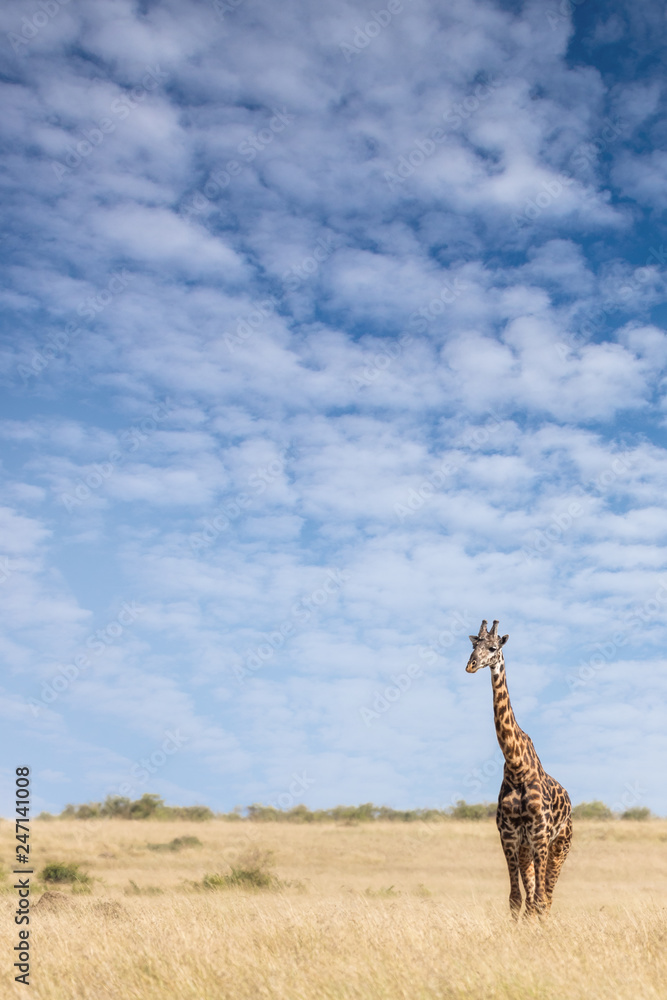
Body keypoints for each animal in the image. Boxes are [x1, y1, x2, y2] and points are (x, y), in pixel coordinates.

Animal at [466, 619, 572, 918]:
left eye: (493, 647)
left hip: (560, 846)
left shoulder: (540, 836)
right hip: (528, 850)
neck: (517, 766)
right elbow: (516, 900)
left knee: (547, 898)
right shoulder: (510, 837)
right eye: (472, 645)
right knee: (533, 899)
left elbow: (538, 900)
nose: (471, 665)